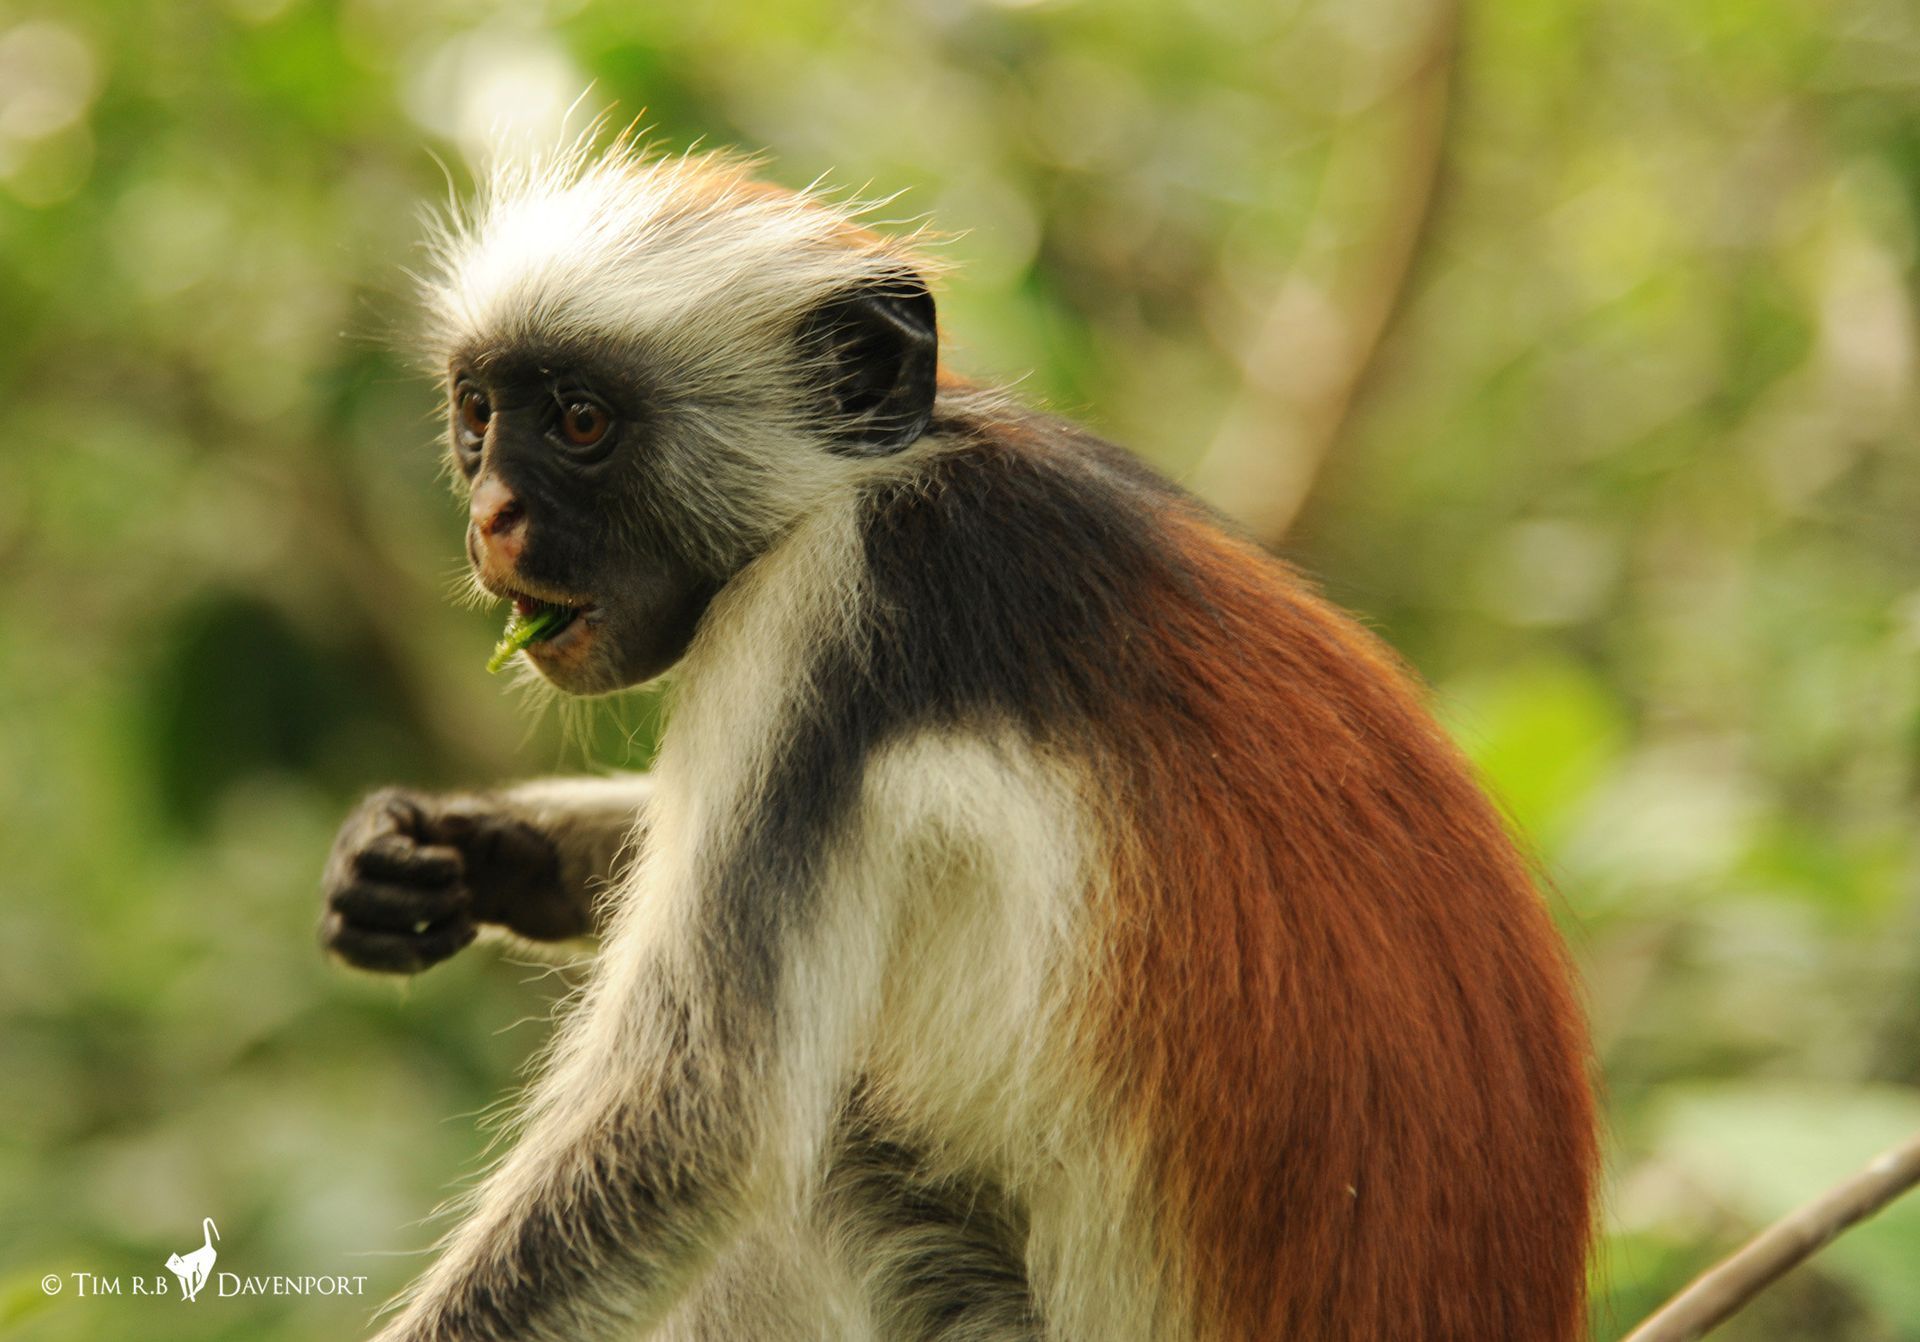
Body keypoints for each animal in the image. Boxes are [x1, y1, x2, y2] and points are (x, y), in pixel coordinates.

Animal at [322, 143, 1597, 1342]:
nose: (492, 516)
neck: (884, 472)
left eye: (580, 422)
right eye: (479, 415)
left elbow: (692, 1124)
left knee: (818, 1168)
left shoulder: (829, 609)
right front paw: (465, 850)